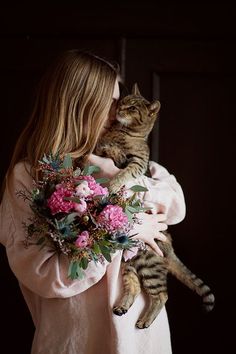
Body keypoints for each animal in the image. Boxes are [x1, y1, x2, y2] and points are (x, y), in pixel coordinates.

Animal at [95, 83, 215, 330]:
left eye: (132, 107)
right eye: (123, 101)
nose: (119, 108)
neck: (122, 132)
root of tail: (170, 247)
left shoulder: (138, 164)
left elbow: (124, 171)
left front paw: (115, 181)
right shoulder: (102, 146)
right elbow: (105, 148)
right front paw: (111, 151)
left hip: (148, 262)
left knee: (161, 295)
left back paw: (145, 320)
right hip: (130, 262)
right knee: (134, 286)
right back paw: (123, 307)